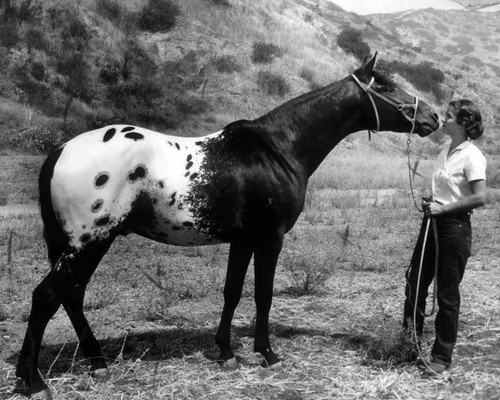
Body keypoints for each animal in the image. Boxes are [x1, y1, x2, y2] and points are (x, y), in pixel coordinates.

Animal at [14, 54, 438, 398]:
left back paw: (96, 363)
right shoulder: (270, 238)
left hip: (83, 245)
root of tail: (60, 151)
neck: (277, 149)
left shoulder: (243, 240)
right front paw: (267, 353)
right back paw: (32, 381)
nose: (433, 117)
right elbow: (263, 295)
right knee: (47, 297)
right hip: (88, 242)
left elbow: (232, 292)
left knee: (71, 296)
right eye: (385, 86)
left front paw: (226, 351)